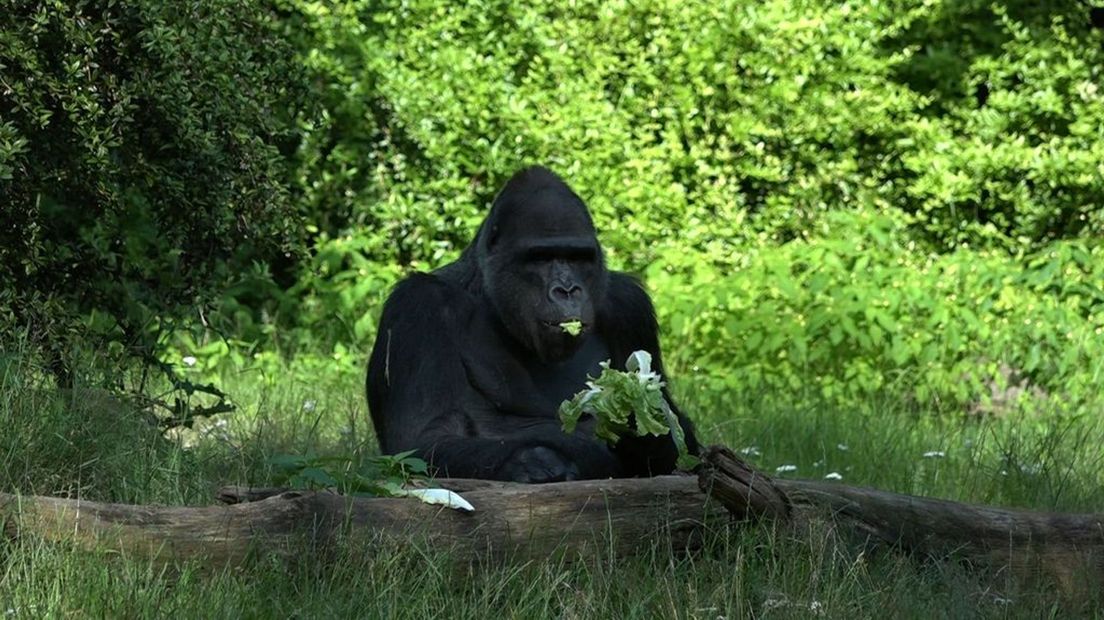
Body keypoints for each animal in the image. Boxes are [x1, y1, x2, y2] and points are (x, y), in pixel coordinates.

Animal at [370, 166, 697, 480]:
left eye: (578, 258)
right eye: (540, 258)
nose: (567, 290)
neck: (488, 297)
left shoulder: (630, 306)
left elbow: (681, 446)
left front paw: (638, 416)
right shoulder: (418, 307)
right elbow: (425, 439)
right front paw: (528, 461)